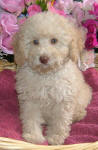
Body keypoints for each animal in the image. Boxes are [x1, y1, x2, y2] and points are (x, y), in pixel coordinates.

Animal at [12, 11, 92, 145]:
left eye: (54, 40)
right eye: (35, 42)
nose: (43, 58)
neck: (46, 75)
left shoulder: (64, 99)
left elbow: (60, 121)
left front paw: (55, 137)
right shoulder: (30, 100)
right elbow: (31, 117)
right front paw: (33, 136)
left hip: (83, 95)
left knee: (81, 107)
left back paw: (78, 115)